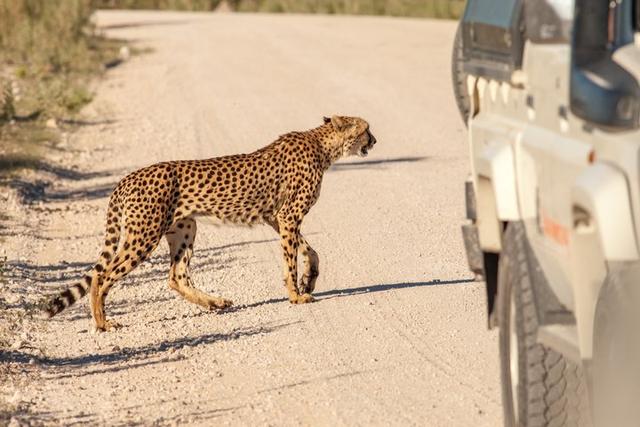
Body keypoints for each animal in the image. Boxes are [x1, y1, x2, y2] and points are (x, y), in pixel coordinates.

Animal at [43, 116, 376, 332]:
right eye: (366, 129)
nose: (374, 140)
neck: (323, 145)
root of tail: (128, 177)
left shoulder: (276, 217)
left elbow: (310, 251)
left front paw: (309, 279)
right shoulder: (287, 216)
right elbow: (291, 259)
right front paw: (296, 295)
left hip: (184, 228)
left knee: (176, 276)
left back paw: (215, 303)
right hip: (144, 234)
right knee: (103, 276)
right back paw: (102, 323)